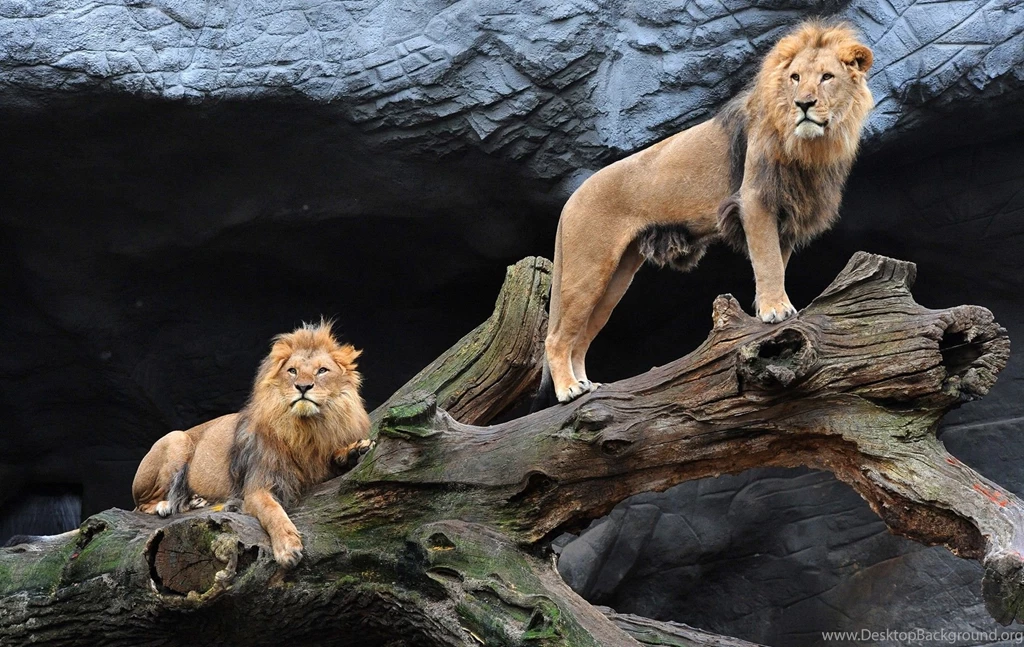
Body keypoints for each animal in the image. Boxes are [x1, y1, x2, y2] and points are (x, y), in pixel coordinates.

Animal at [132, 321, 372, 567]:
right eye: (292, 371)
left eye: (322, 370)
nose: (303, 386)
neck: (306, 430)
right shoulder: (257, 485)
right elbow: (272, 511)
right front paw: (288, 547)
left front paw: (354, 450)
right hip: (177, 439)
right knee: (142, 504)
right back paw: (166, 505)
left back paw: (195, 501)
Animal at [540, 20, 874, 404]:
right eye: (795, 77)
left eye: (827, 77)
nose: (804, 104)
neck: (809, 145)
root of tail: (571, 199)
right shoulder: (755, 199)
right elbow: (768, 261)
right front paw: (775, 311)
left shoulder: (786, 213)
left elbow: (778, 260)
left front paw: (771, 307)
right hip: (588, 269)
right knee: (557, 337)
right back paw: (568, 390)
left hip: (615, 279)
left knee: (580, 338)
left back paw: (586, 385)